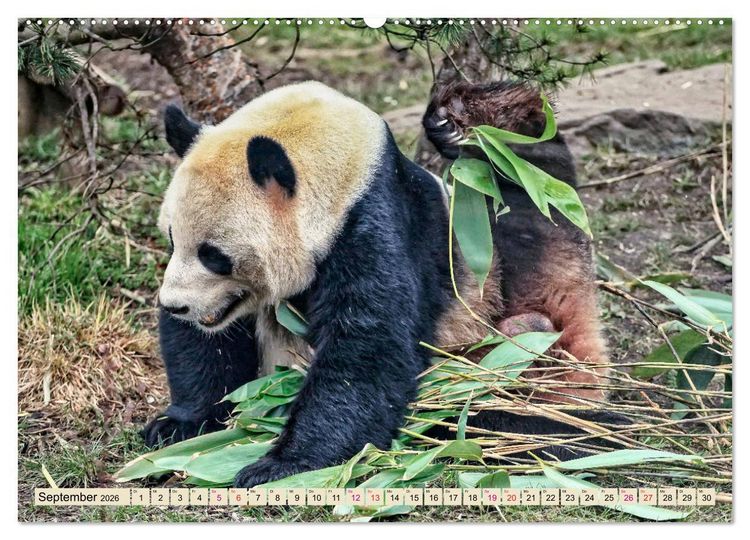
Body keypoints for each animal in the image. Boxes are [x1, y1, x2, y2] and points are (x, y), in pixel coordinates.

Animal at [143, 80, 620, 488]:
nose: (176, 306)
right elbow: (208, 348)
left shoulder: (372, 222)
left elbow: (368, 346)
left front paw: (281, 465)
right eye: (172, 238)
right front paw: (178, 424)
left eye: (214, 255)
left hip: (503, 334)